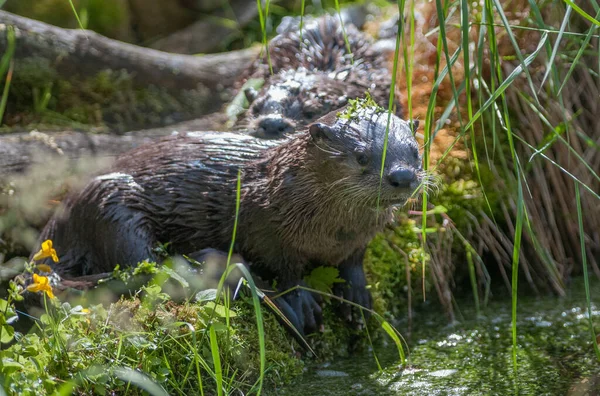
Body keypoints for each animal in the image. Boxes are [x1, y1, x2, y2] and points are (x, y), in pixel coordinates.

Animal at [32, 102, 424, 334]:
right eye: (362, 155)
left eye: (415, 151)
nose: (403, 176)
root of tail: (57, 225)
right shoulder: (264, 225)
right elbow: (286, 269)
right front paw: (299, 301)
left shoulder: (359, 240)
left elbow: (353, 263)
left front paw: (358, 295)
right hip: (112, 205)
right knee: (145, 269)